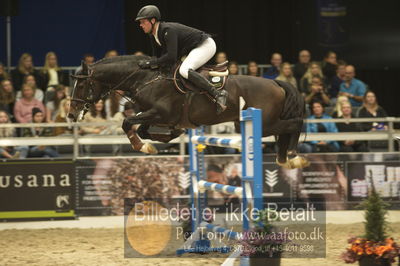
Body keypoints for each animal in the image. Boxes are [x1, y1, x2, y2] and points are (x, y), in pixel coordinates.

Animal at [67, 55, 308, 169]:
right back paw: (285, 159)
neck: (145, 79)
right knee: (285, 132)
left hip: (265, 123)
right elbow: (144, 130)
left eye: (81, 85)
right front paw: (169, 137)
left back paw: (294, 157)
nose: (71, 115)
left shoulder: (159, 113)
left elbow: (128, 124)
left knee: (295, 124)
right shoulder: (156, 116)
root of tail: (276, 82)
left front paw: (142, 147)